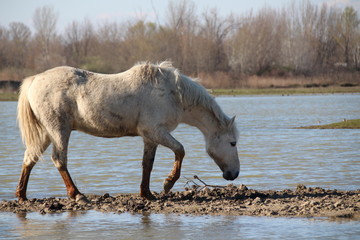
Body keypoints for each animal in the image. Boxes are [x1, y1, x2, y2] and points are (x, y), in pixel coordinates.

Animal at [16, 61, 239, 202]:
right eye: (233, 143)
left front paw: (146, 194)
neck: (174, 93)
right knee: (59, 159)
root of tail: (35, 79)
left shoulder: (151, 137)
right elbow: (180, 150)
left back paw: (22, 195)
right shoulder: (156, 131)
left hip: (46, 134)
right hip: (59, 130)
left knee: (30, 159)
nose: (234, 174)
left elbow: (147, 164)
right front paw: (168, 183)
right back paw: (77, 195)